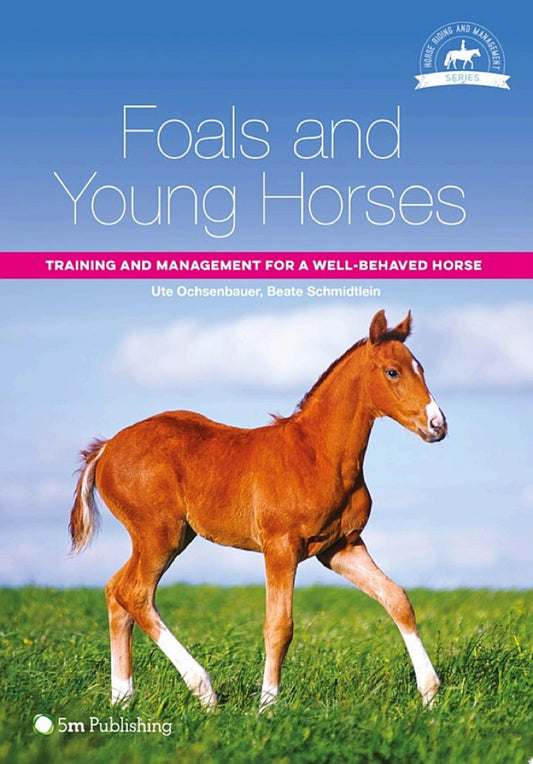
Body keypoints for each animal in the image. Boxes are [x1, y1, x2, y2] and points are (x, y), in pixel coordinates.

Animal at [69, 310, 447, 710]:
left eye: (420, 368)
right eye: (393, 371)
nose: (438, 425)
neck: (318, 454)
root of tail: (106, 447)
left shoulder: (341, 547)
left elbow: (397, 598)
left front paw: (430, 693)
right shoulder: (280, 547)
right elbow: (279, 625)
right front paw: (268, 705)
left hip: (165, 537)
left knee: (115, 591)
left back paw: (122, 698)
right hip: (159, 534)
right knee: (134, 593)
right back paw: (203, 690)